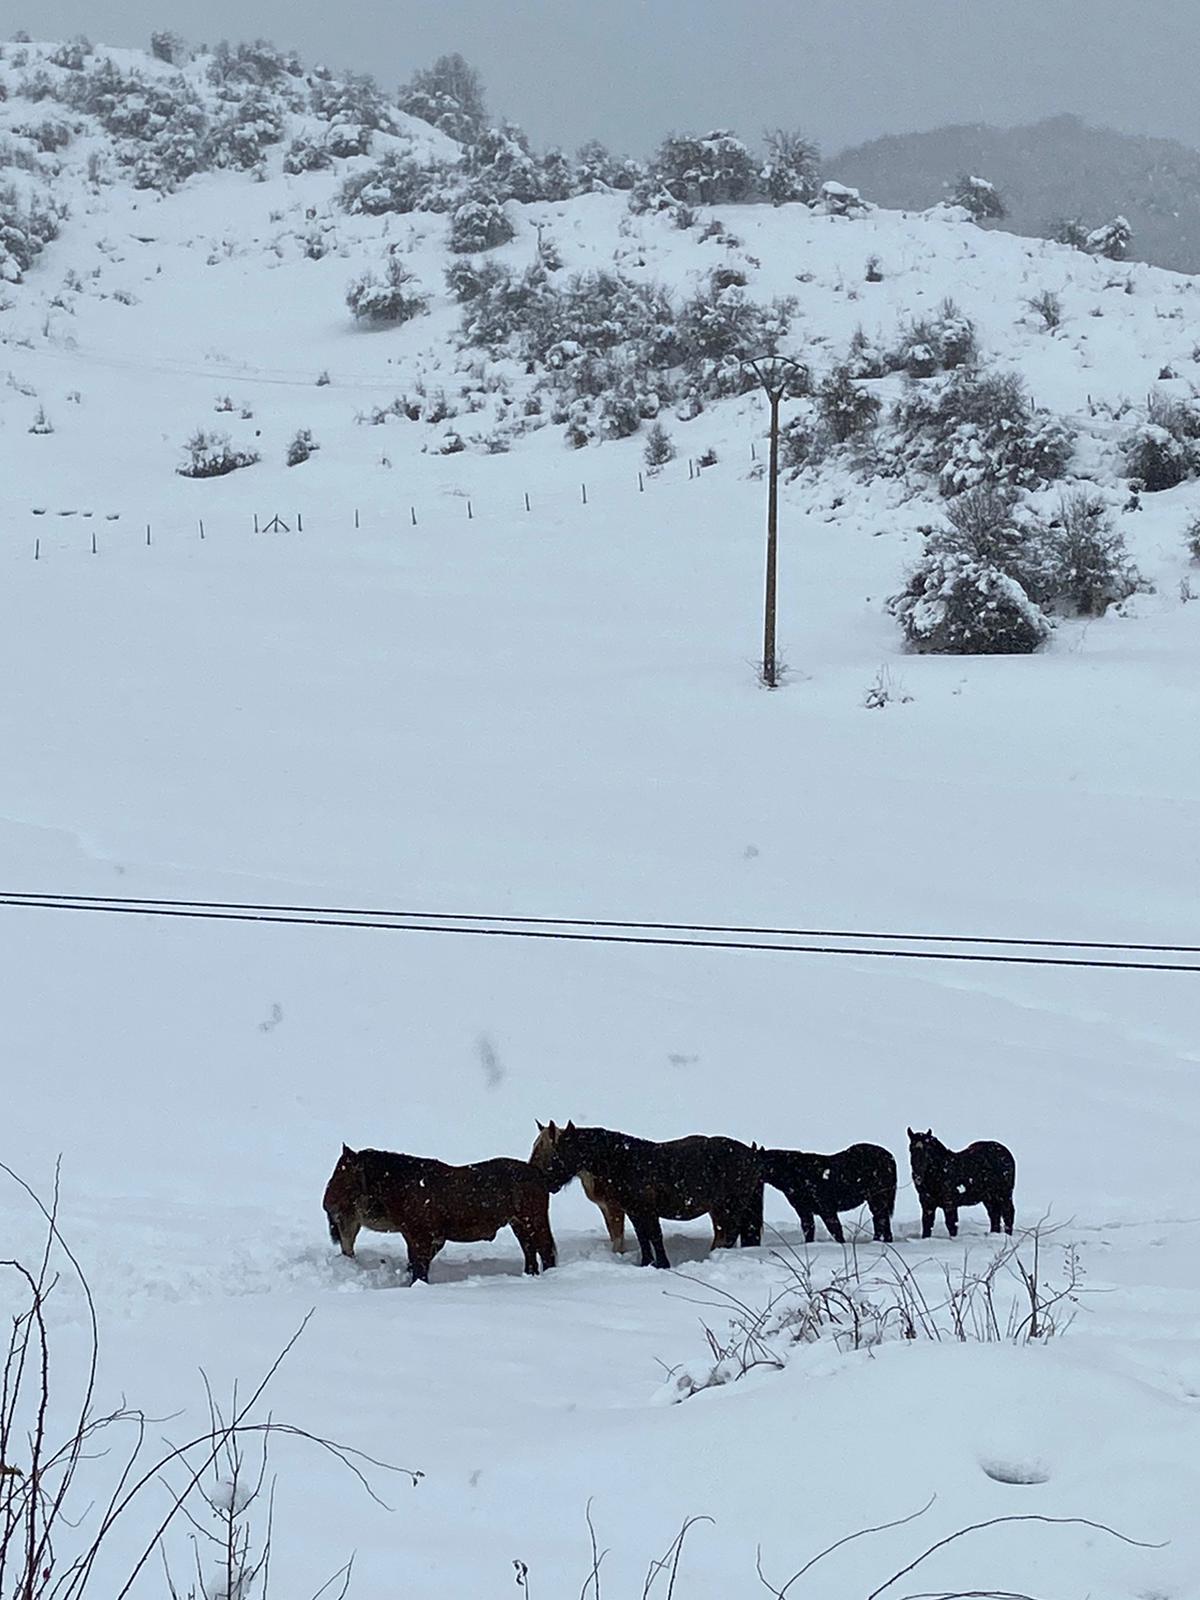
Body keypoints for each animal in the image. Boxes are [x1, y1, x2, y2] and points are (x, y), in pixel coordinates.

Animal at [324, 1145, 560, 1280]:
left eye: (343, 1174)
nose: (327, 1204)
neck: (408, 1186)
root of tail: (537, 1174)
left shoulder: (422, 1238)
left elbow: (420, 1269)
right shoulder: (414, 1237)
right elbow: (415, 1266)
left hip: (533, 1221)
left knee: (545, 1251)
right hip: (519, 1224)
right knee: (530, 1252)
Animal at [534, 1120, 764, 1267]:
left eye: (557, 1155)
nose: (545, 1183)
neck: (625, 1161)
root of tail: (752, 1155)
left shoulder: (647, 1211)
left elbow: (654, 1236)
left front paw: (662, 1264)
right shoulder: (634, 1212)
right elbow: (643, 1238)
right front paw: (647, 1263)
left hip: (731, 1207)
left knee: (730, 1233)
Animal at [761, 1145, 896, 1241]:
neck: (795, 1173)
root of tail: (889, 1156)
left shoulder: (826, 1208)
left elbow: (835, 1229)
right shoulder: (804, 1210)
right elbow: (808, 1230)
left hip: (877, 1198)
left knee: (881, 1220)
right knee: (880, 1220)